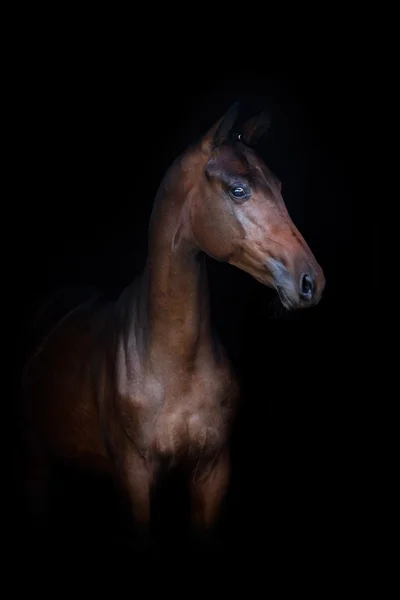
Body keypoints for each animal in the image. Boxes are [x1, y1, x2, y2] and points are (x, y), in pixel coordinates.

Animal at [18, 101, 324, 552]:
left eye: (280, 186)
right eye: (238, 190)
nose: (310, 281)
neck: (173, 363)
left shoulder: (213, 473)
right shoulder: (133, 478)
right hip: (35, 459)